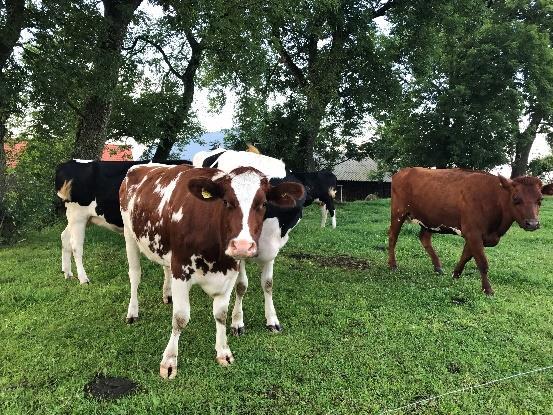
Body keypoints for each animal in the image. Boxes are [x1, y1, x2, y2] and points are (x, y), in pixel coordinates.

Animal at [55, 158, 190, 284]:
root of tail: (68, 163)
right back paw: (83, 279)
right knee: (76, 245)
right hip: (78, 216)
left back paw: (67, 273)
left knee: (64, 237)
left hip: (81, 218)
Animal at [118, 164, 304, 378]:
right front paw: (169, 361)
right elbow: (180, 318)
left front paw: (223, 352)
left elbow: (221, 314)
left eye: (263, 203)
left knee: (164, 267)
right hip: (129, 235)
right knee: (135, 275)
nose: (242, 246)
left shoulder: (229, 273)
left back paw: (167, 295)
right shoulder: (180, 270)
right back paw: (132, 312)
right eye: (226, 201)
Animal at [193, 148, 306, 334]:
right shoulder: (238, 251)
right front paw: (237, 322)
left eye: (264, 203)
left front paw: (272, 320)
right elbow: (241, 285)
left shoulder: (272, 249)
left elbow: (268, 283)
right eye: (226, 202)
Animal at [388, 168, 544, 296]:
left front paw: (456, 274)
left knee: (424, 238)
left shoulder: (475, 235)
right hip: (398, 213)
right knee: (392, 237)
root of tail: (403, 171)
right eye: (516, 199)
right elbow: (482, 262)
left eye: (540, 199)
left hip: (429, 219)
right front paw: (487, 289)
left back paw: (438, 267)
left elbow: (466, 256)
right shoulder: (473, 233)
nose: (533, 224)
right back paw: (392, 265)